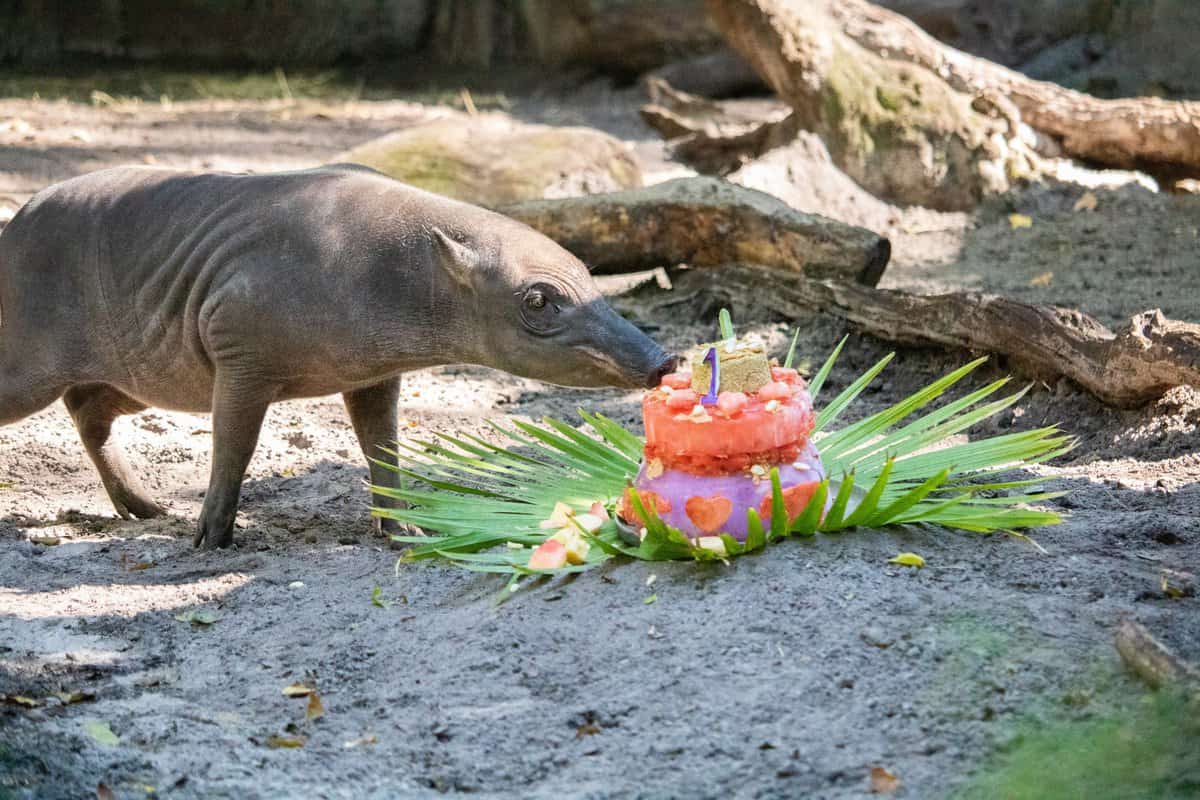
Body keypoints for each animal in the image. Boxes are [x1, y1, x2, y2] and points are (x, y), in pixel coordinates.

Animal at [0, 165, 674, 548]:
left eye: (591, 276)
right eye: (538, 301)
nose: (664, 363)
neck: (395, 271)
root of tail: (15, 222)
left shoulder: (373, 375)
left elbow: (384, 450)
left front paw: (402, 529)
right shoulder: (241, 359)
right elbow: (233, 450)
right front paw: (211, 538)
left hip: (141, 376)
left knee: (87, 410)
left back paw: (142, 506)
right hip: (33, 368)